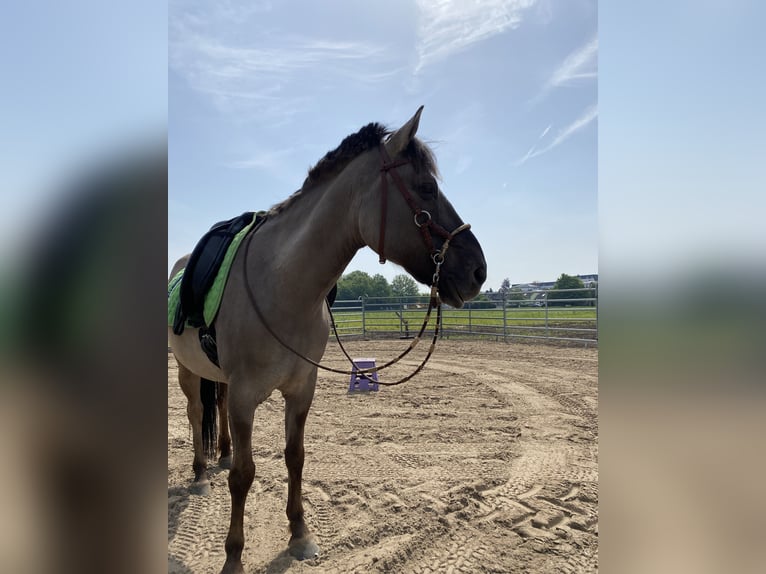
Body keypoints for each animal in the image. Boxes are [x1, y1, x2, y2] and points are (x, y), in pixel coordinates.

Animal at [171, 106, 488, 572]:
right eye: (427, 188)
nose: (478, 271)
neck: (283, 285)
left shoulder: (302, 389)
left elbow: (295, 457)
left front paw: (300, 535)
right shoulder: (248, 397)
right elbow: (244, 476)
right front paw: (233, 556)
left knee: (219, 407)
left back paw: (223, 453)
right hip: (186, 370)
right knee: (196, 413)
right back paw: (198, 473)